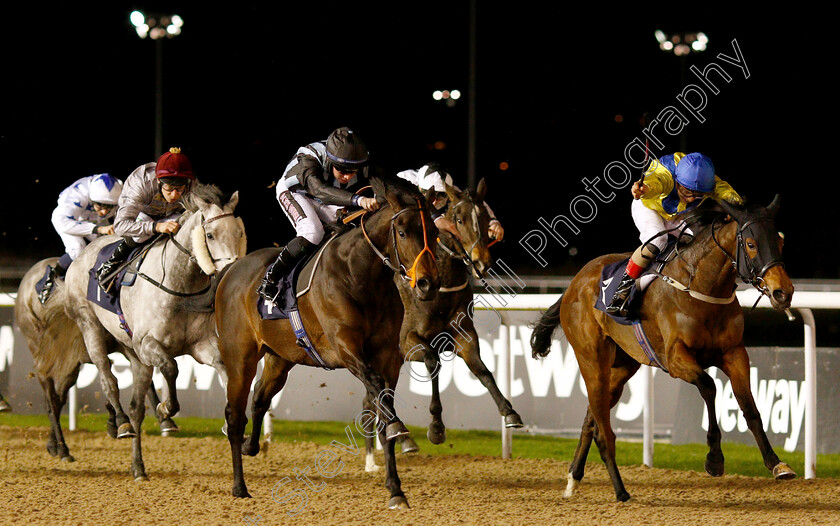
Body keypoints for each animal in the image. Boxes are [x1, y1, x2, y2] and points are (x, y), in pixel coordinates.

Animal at [13, 258, 180, 464]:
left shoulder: (124, 344)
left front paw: (162, 419)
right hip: (43, 353)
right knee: (52, 401)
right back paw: (63, 449)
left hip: (68, 366)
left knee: (57, 399)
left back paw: (55, 446)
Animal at [215, 175, 440, 510]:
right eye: (402, 232)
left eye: (435, 233)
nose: (428, 283)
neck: (359, 274)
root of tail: (231, 269)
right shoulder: (346, 347)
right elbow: (378, 394)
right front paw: (401, 431)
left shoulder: (389, 356)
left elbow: (383, 406)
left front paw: (396, 490)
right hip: (240, 359)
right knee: (234, 415)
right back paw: (239, 486)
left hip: (280, 359)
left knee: (259, 400)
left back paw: (250, 446)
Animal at [366, 178, 520, 466]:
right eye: (458, 219)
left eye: (485, 219)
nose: (482, 262)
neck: (440, 290)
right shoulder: (408, 342)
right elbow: (432, 362)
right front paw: (436, 427)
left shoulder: (464, 337)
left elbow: (483, 371)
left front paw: (509, 412)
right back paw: (383, 452)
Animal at [532, 197, 796, 504]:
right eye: (751, 244)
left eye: (780, 242)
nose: (783, 292)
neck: (701, 286)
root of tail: (574, 282)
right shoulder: (675, 358)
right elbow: (709, 387)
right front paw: (714, 459)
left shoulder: (734, 353)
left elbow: (749, 407)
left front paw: (776, 463)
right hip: (591, 359)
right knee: (603, 431)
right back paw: (621, 491)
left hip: (621, 367)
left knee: (591, 419)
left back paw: (573, 479)